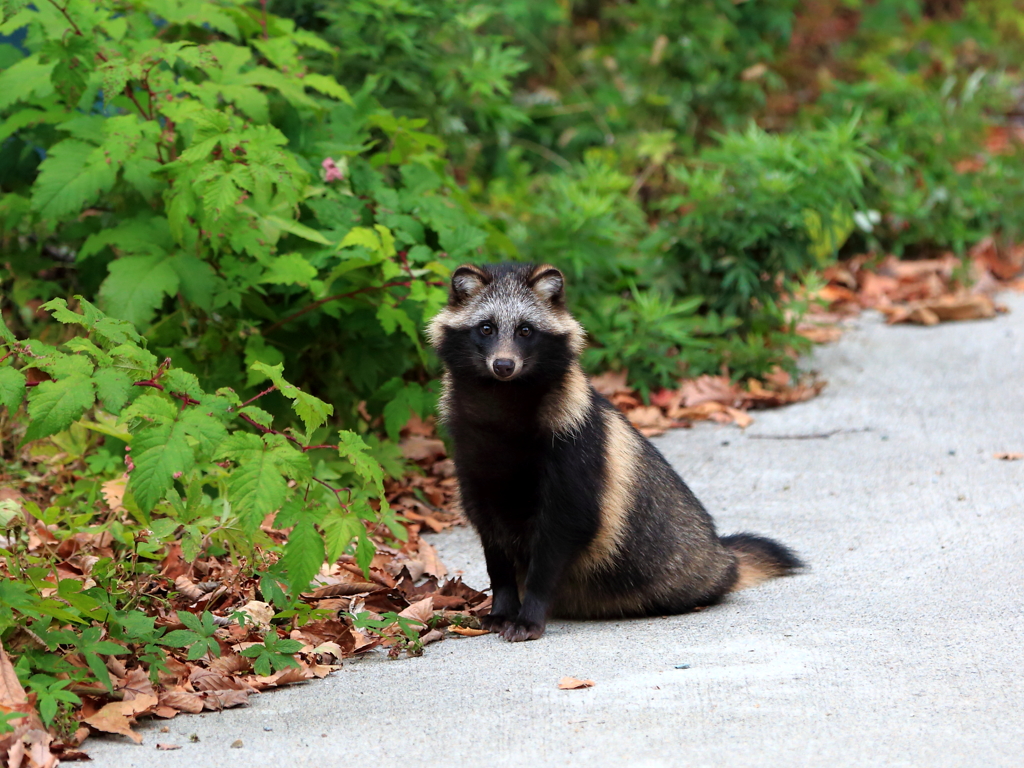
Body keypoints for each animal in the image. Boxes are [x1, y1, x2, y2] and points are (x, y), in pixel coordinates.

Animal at [428, 264, 802, 643]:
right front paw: (503, 604)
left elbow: (561, 532)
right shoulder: (472, 459)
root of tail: (722, 555)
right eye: (486, 328)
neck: (502, 400)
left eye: (525, 330)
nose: (504, 365)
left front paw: (530, 610)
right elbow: (492, 539)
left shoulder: (575, 449)